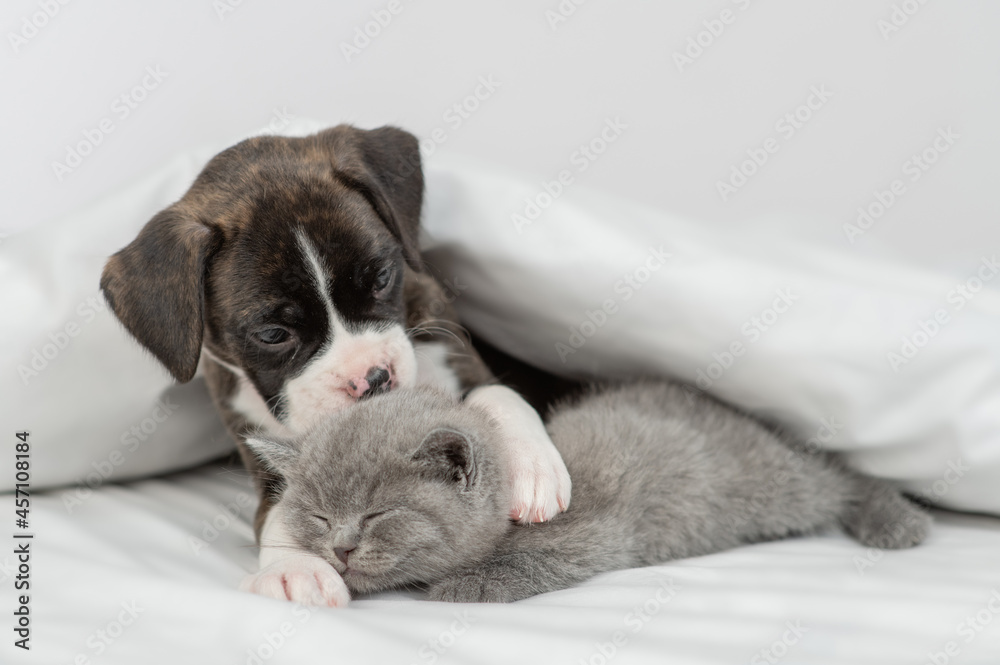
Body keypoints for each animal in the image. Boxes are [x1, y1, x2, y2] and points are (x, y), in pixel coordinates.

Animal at [248, 378, 928, 600]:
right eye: (317, 516)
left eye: (377, 513)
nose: (338, 548)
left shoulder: (592, 530)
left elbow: (535, 558)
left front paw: (464, 584)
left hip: (772, 484)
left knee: (840, 476)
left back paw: (898, 521)